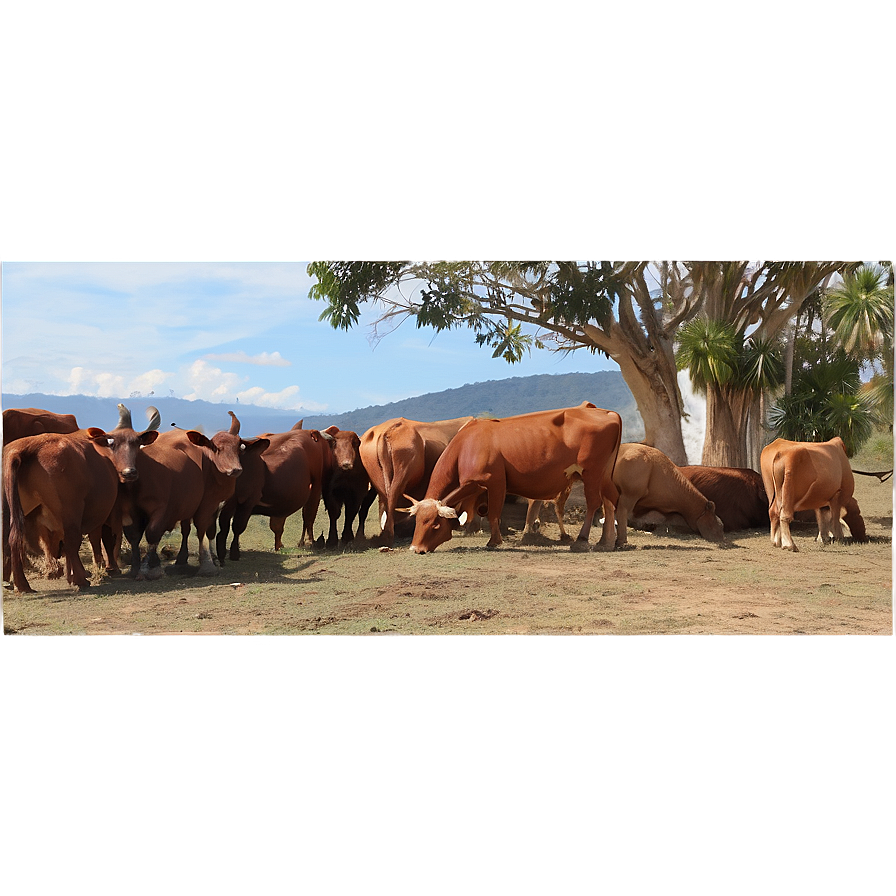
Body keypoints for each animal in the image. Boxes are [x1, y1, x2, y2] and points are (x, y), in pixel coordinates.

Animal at [3, 404, 161, 592]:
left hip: (14, 509)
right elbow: (106, 538)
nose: (129, 472)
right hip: (71, 508)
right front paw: (109, 567)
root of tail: (29, 446)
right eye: (113, 444)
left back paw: (21, 584)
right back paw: (80, 580)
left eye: (137, 444)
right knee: (71, 541)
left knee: (13, 539)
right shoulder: (109, 512)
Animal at [122, 414, 270, 580]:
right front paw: (207, 566)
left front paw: (187, 560)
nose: (235, 469)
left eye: (239, 447)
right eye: (216, 448)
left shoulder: (197, 505)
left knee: (135, 535)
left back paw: (138, 568)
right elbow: (201, 529)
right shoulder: (206, 504)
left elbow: (198, 530)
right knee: (151, 532)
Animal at [215, 420, 328, 560]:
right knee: (280, 525)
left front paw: (235, 553)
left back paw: (308, 542)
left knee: (309, 515)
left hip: (316, 486)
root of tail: (308, 432)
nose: (232, 470)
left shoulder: (248, 501)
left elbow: (238, 526)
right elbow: (224, 527)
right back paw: (283, 545)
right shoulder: (227, 504)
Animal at [362, 414, 480, 544]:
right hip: (405, 456)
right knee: (393, 493)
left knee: (384, 495)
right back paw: (390, 536)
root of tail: (386, 432)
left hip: (373, 462)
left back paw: (385, 535)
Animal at [402, 400, 620, 552]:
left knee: (594, 502)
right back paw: (608, 542)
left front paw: (494, 541)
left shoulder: (494, 481)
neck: (465, 445)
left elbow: (494, 513)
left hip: (591, 472)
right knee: (610, 501)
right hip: (604, 475)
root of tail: (606, 412)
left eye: (435, 524)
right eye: (418, 522)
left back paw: (582, 541)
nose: (416, 549)